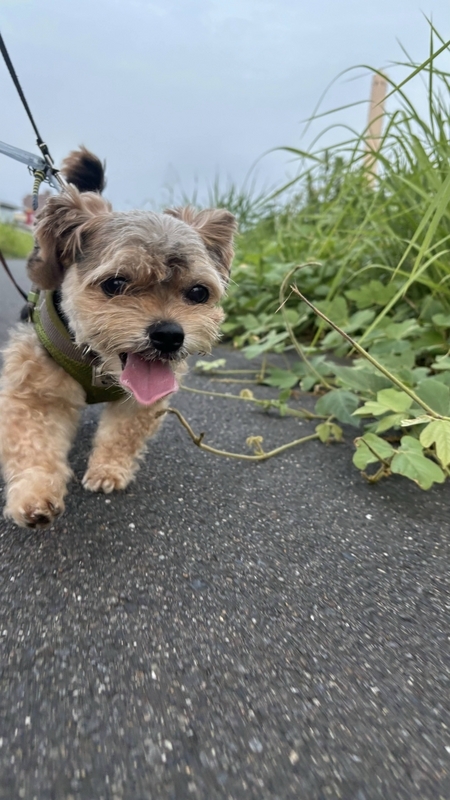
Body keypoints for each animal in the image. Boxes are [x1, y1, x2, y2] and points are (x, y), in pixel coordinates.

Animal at [0, 148, 237, 528]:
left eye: (198, 292)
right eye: (115, 284)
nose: (169, 335)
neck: (96, 362)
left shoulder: (140, 403)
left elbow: (122, 436)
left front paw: (108, 470)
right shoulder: (33, 390)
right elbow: (32, 443)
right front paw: (34, 495)